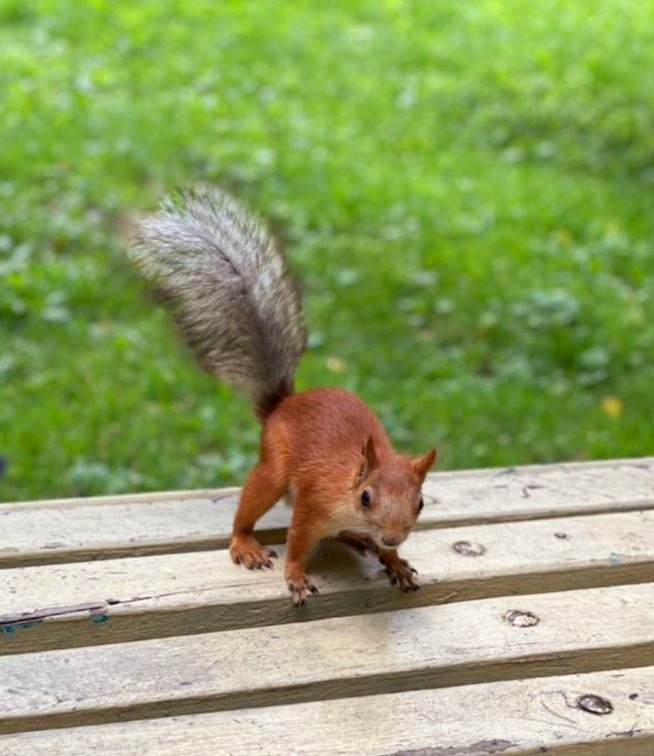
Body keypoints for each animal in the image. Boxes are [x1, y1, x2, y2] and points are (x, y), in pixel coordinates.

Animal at [130, 187, 437, 606]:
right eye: (366, 497)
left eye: (420, 502)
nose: (390, 536)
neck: (348, 486)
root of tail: (283, 404)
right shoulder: (312, 503)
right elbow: (297, 541)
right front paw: (295, 575)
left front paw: (395, 561)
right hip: (273, 468)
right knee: (247, 511)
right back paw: (246, 543)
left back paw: (356, 538)